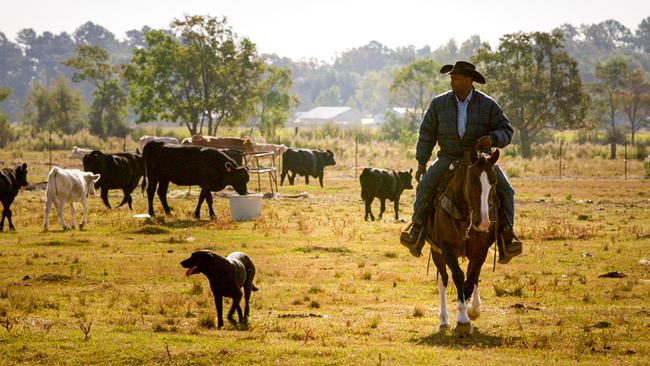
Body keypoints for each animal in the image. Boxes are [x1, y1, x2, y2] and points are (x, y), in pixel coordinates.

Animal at [422, 147, 498, 334]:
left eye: (493, 182)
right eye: (472, 182)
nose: (483, 222)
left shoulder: (480, 251)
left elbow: (471, 278)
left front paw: (473, 310)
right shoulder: (447, 249)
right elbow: (458, 276)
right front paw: (462, 319)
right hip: (437, 252)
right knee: (443, 279)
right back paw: (443, 320)